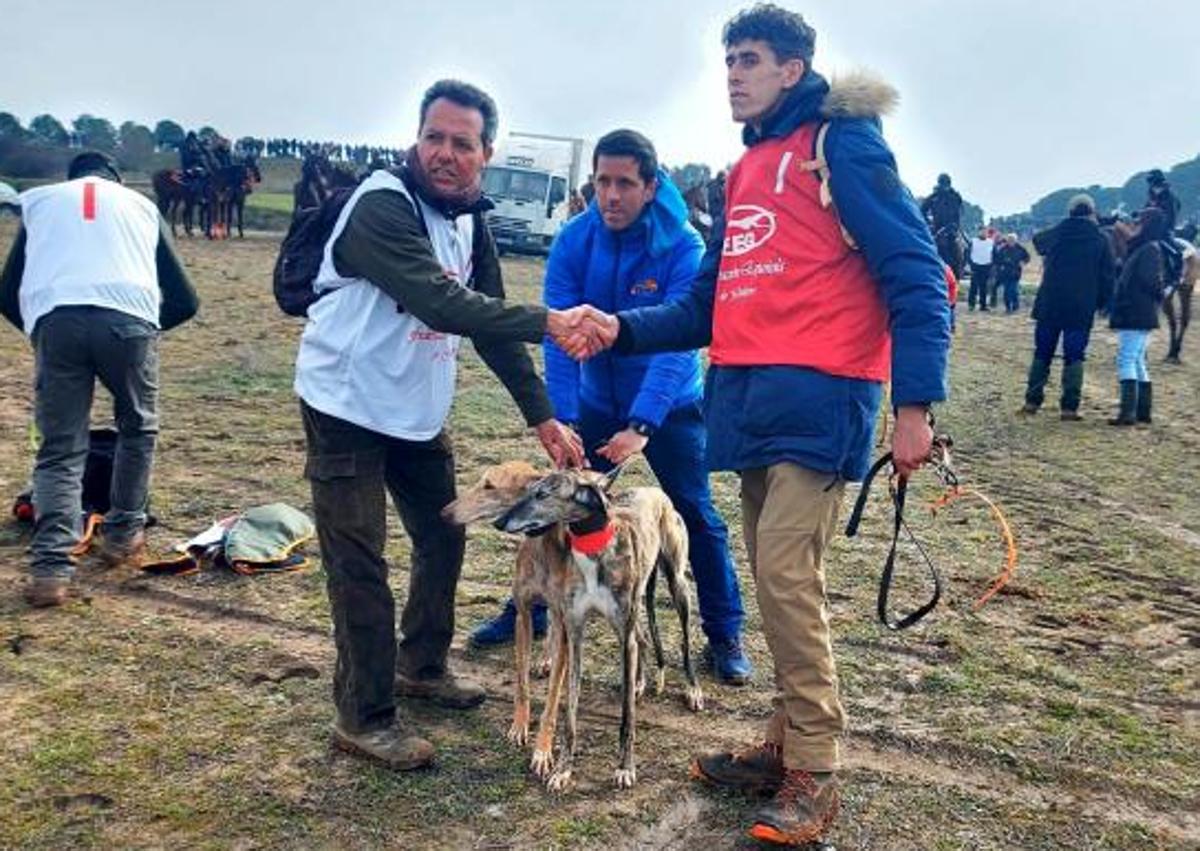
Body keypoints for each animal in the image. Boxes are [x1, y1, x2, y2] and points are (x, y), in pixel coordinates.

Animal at [489, 465, 700, 792]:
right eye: (528, 491)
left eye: (542, 494)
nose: (498, 522)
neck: (592, 550)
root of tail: (655, 490)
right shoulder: (574, 634)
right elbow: (569, 713)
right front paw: (563, 770)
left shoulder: (617, 632)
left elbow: (627, 718)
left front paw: (625, 768)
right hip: (631, 614)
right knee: (642, 640)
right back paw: (639, 682)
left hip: (677, 585)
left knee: (684, 642)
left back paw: (692, 689)